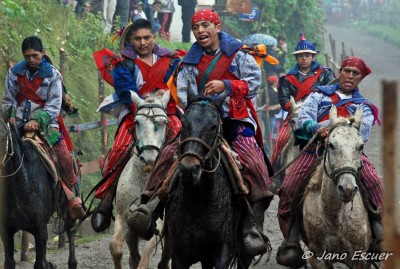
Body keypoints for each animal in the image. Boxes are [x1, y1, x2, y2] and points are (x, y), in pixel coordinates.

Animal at [0, 117, 79, 268]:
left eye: (3, 136)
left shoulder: (40, 228)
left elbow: (39, 263)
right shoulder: (6, 230)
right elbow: (9, 262)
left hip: (67, 209)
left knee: (70, 229)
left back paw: (72, 262)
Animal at [109, 90, 172, 268]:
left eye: (164, 122)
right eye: (137, 122)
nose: (149, 159)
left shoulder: (158, 223)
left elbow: (145, 260)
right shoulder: (123, 216)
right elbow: (116, 248)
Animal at [165, 96, 253, 268]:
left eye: (213, 126)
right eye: (184, 124)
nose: (189, 168)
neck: (199, 202)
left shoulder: (223, 250)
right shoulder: (179, 255)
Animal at [304, 105, 372, 268]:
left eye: (360, 146)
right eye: (331, 145)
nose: (347, 189)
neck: (334, 217)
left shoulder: (360, 258)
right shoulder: (317, 257)